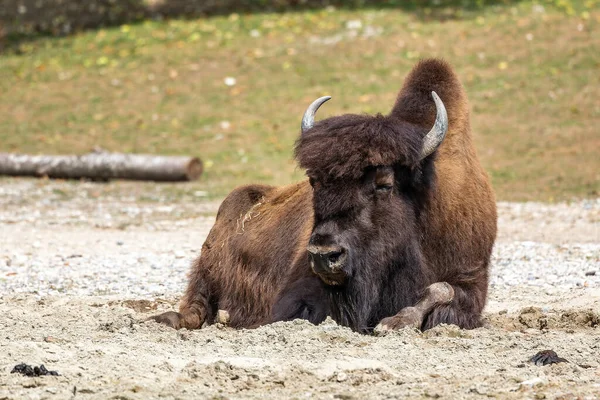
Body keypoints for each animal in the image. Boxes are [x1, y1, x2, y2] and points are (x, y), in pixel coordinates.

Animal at [154, 58, 496, 334]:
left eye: (384, 184)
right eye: (314, 181)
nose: (324, 255)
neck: (421, 200)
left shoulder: (471, 277)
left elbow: (440, 289)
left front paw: (394, 322)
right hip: (207, 266)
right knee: (196, 306)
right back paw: (172, 318)